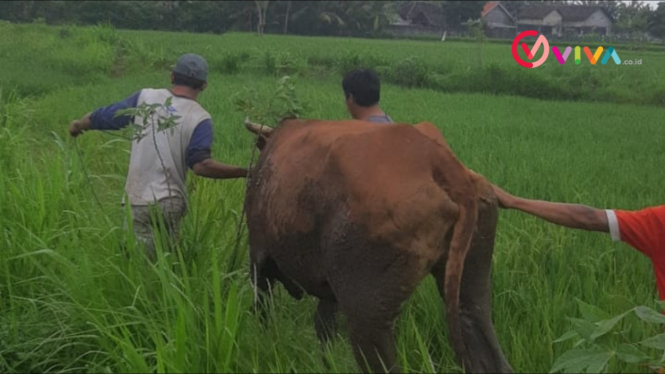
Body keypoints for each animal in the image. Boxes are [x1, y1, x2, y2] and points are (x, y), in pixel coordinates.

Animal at [243, 117, 508, 374]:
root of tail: (437, 159)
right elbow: (324, 328)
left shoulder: (259, 257)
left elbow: (263, 311)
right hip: (470, 286)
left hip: (367, 314)